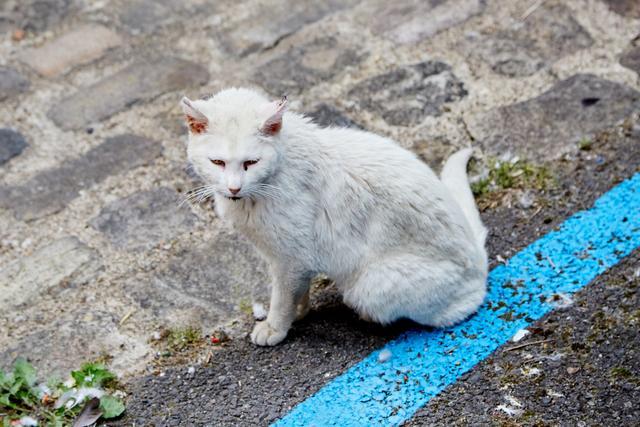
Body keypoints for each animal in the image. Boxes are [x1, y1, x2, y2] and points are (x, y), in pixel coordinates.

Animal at [182, 88, 488, 346]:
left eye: (251, 163)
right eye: (217, 162)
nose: (234, 187)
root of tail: (478, 258)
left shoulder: (289, 259)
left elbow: (282, 298)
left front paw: (276, 327)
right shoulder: (296, 261)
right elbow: (299, 290)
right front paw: (300, 312)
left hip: (369, 286)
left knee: (458, 310)